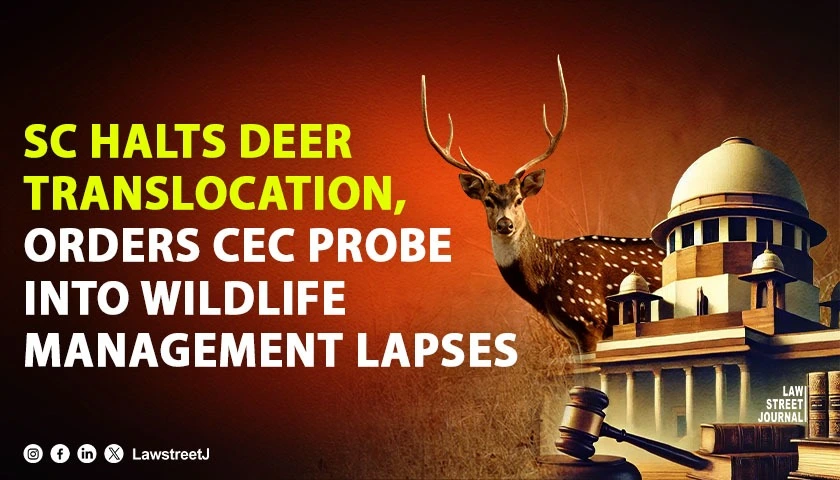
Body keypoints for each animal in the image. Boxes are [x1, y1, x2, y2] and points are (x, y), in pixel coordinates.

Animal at [421, 56, 665, 354]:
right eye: (488, 201)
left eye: (519, 199)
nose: (505, 224)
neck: (546, 282)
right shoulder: (570, 336)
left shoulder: (590, 320)